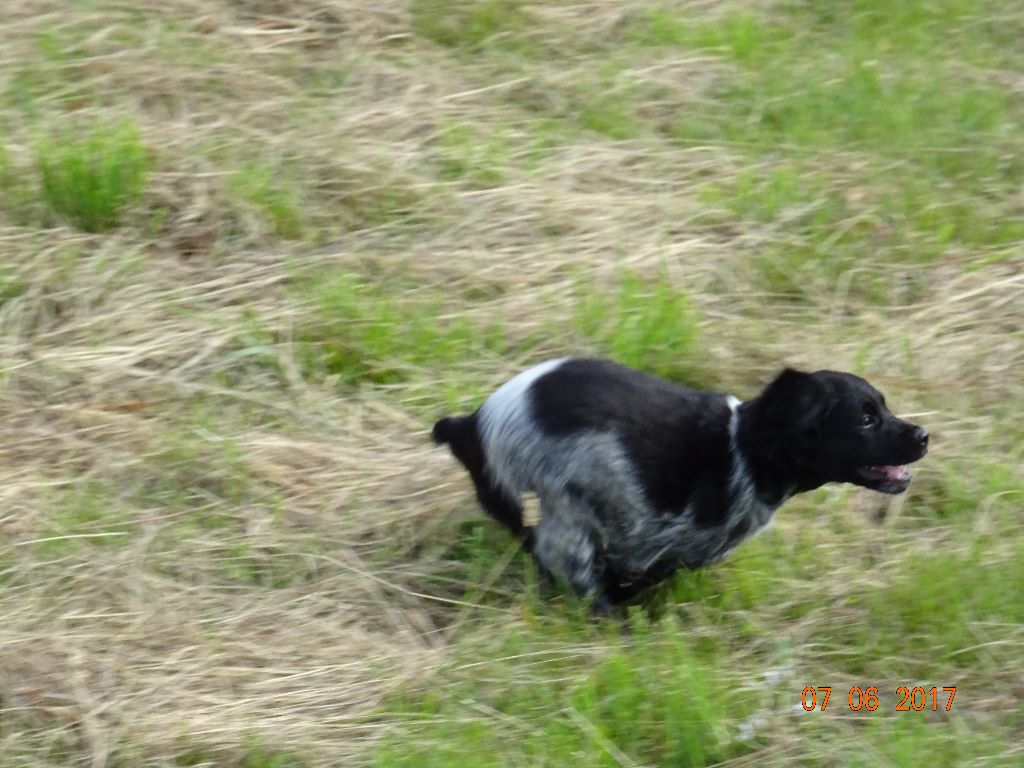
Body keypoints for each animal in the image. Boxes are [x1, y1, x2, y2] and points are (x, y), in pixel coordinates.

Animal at [432, 360, 929, 614]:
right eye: (866, 418)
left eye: (883, 407)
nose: (924, 435)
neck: (744, 447)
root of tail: (475, 422)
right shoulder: (645, 536)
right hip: (565, 511)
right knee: (554, 554)